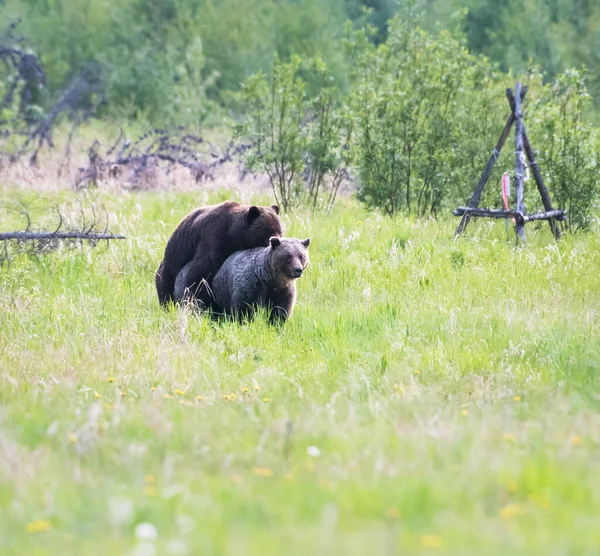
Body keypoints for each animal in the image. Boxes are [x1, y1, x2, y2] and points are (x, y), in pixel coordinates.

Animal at [156, 201, 284, 306]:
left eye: (280, 231)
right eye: (269, 231)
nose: (277, 241)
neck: (233, 234)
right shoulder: (215, 239)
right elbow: (198, 274)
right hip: (170, 265)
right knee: (164, 285)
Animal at [173, 237, 310, 324]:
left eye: (301, 256)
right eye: (288, 256)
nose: (297, 270)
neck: (269, 279)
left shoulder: (282, 290)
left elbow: (281, 310)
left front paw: (277, 324)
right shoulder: (250, 284)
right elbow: (244, 308)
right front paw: (244, 323)